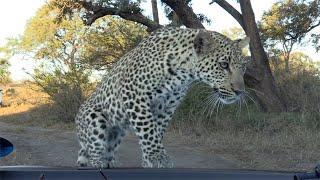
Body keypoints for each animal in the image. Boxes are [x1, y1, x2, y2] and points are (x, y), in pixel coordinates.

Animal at [75, 26, 250, 169]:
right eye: (223, 65)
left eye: (243, 67)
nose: (240, 91)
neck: (183, 73)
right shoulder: (134, 93)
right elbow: (147, 127)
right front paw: (157, 156)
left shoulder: (167, 106)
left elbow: (157, 130)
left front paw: (149, 160)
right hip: (95, 118)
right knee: (94, 148)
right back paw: (99, 162)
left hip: (118, 132)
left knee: (108, 148)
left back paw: (111, 161)